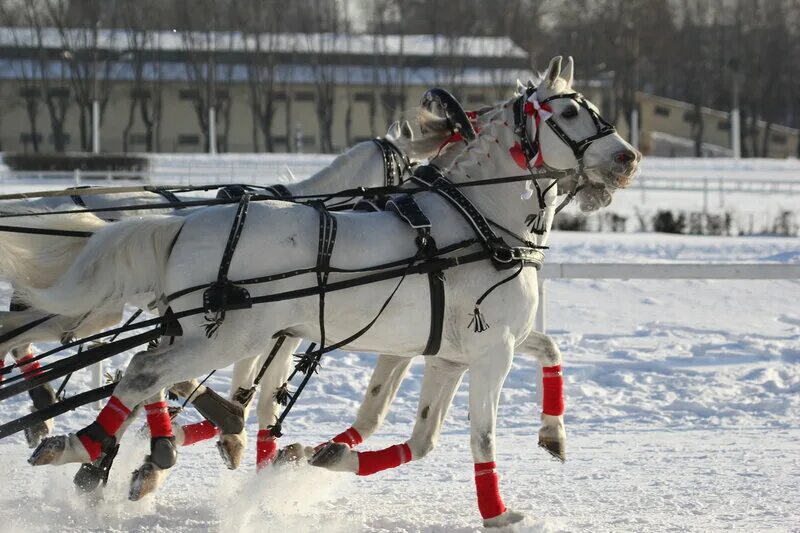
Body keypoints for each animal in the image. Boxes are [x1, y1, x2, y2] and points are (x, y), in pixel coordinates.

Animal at [18, 57, 640, 524]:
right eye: (567, 111)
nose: (629, 158)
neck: (481, 224)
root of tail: (183, 224)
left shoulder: (453, 353)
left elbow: (431, 430)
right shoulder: (491, 352)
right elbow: (479, 438)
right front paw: (499, 513)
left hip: (203, 330)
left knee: (148, 373)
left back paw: (99, 450)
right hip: (224, 334)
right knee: (146, 373)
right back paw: (85, 445)